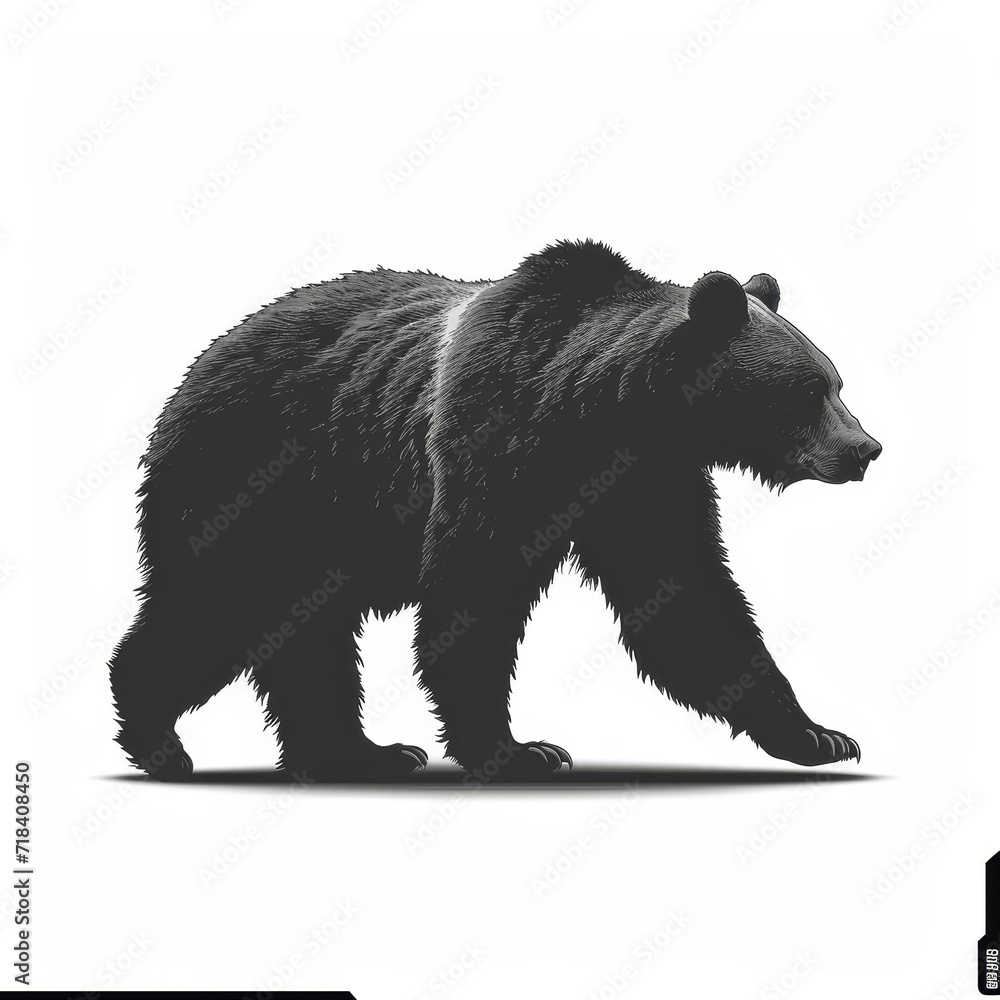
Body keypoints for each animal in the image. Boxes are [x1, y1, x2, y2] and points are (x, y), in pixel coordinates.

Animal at [109, 239, 881, 780]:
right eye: (808, 391)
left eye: (837, 381)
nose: (865, 448)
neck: (604, 411)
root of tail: (196, 367)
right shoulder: (495, 447)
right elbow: (471, 594)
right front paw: (518, 750)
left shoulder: (643, 484)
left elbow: (688, 601)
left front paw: (818, 734)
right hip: (257, 479)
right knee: (216, 604)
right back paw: (161, 741)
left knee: (305, 637)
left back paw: (359, 753)